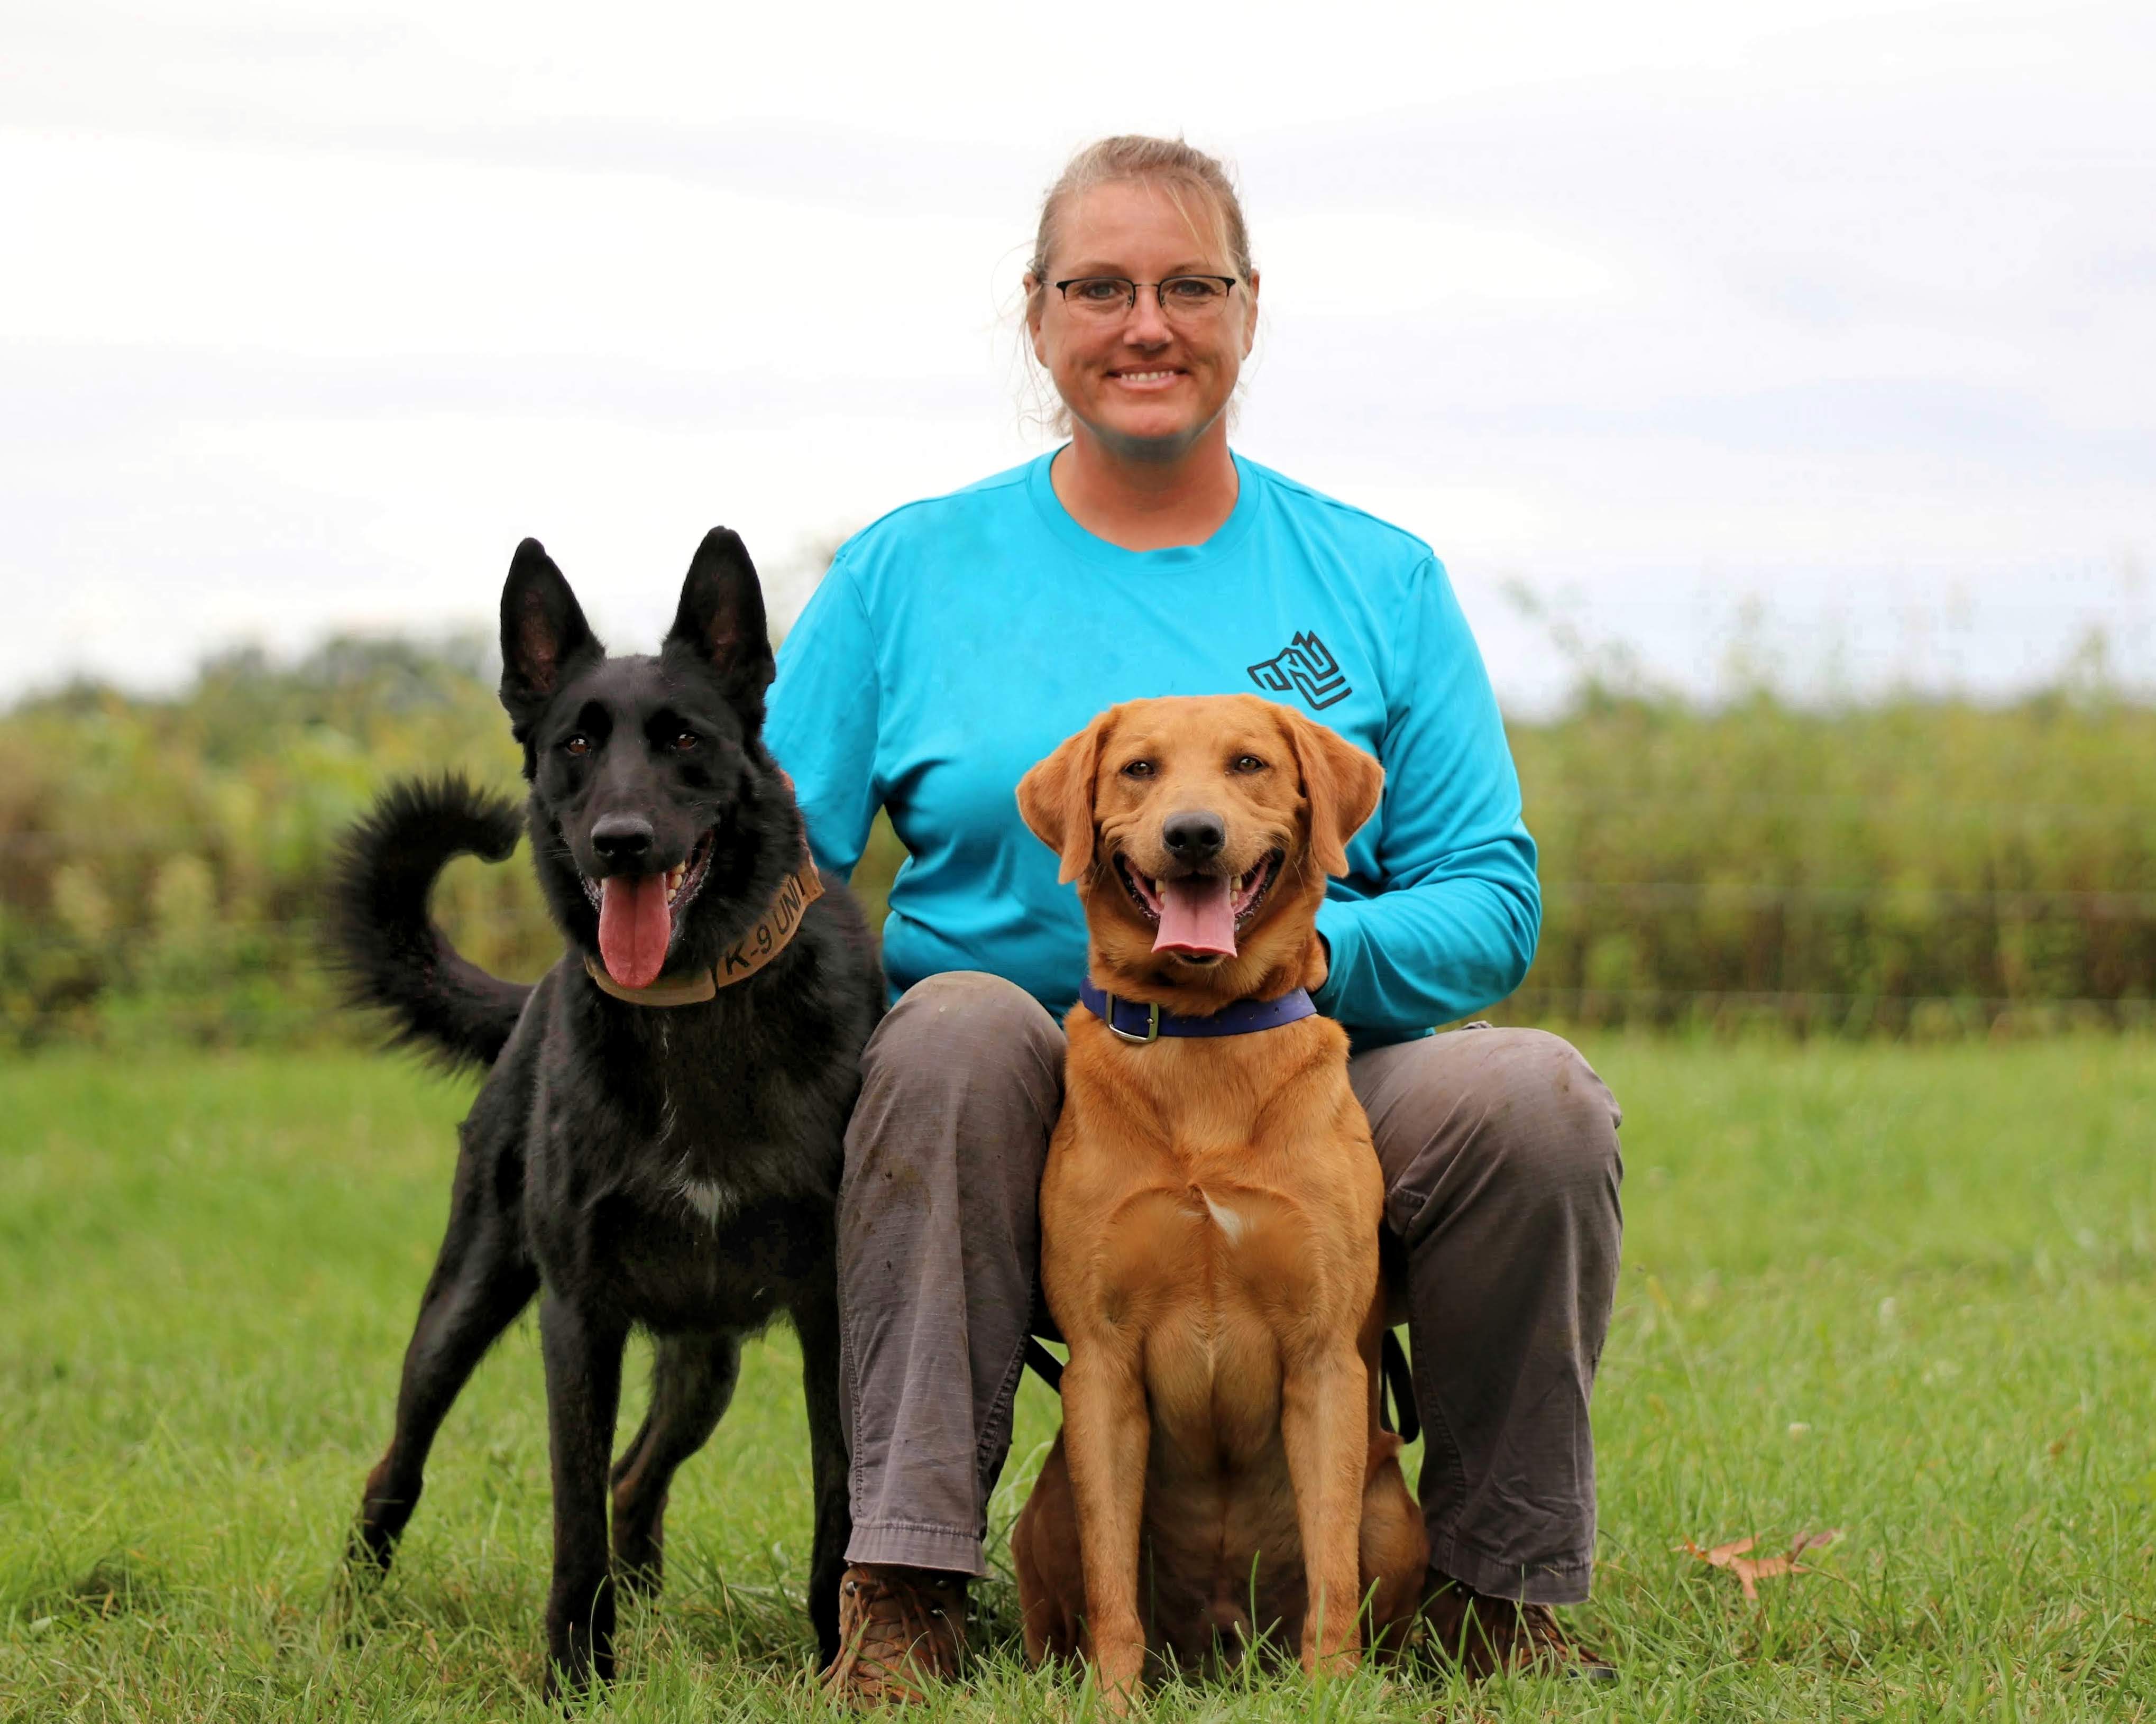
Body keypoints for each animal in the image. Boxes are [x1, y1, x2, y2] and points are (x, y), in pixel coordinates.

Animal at [327, 526, 884, 1681]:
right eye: (575, 744)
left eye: (684, 738)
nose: (620, 841)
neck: (691, 1010)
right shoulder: (578, 1313)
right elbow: (572, 1509)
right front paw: (575, 1672)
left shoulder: (831, 1302)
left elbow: (839, 1495)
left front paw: (833, 1658)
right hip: (466, 1302)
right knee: (397, 1466)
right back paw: (346, 1615)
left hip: (704, 1358)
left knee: (638, 1476)